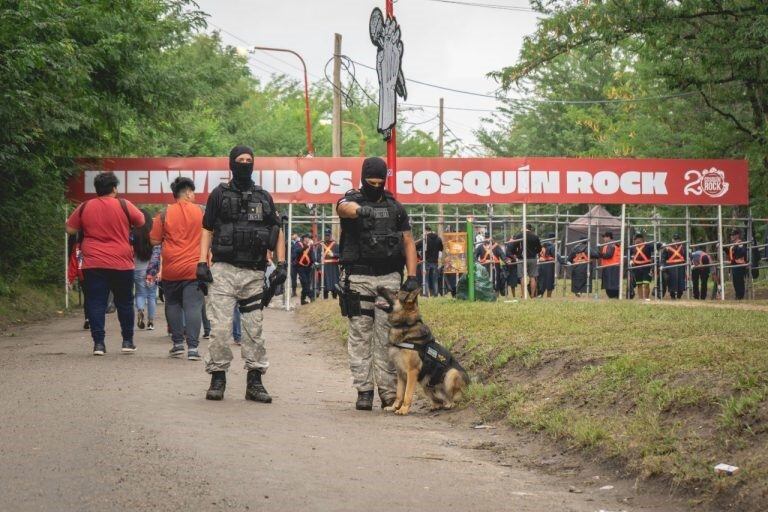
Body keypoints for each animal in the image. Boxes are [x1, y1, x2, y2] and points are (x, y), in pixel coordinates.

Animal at [374, 286, 464, 414]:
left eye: (396, 293)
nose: (378, 287)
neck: (405, 325)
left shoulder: (412, 372)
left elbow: (407, 394)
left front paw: (403, 409)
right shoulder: (400, 373)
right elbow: (399, 393)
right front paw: (394, 407)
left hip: (451, 374)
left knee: (455, 398)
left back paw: (449, 404)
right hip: (426, 384)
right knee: (439, 400)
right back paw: (436, 405)